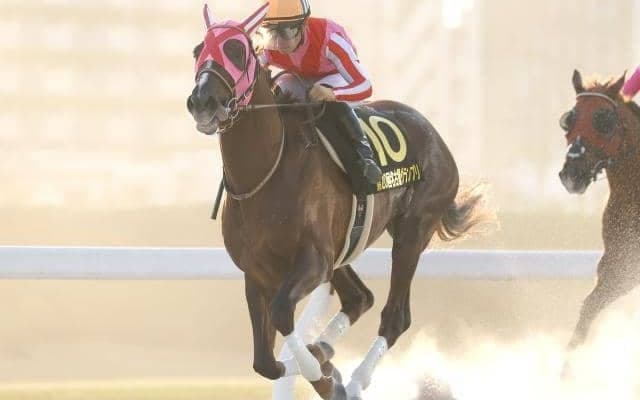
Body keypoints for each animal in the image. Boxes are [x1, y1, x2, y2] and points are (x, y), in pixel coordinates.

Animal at [186, 4, 487, 399]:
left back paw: (355, 378)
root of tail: (435, 135)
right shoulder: (258, 272)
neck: (265, 174)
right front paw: (320, 365)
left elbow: (282, 315)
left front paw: (322, 374)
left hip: (412, 232)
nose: (202, 101)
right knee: (360, 297)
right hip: (343, 248)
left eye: (237, 51)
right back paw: (327, 350)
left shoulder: (313, 261)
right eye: (197, 51)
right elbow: (265, 363)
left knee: (394, 316)